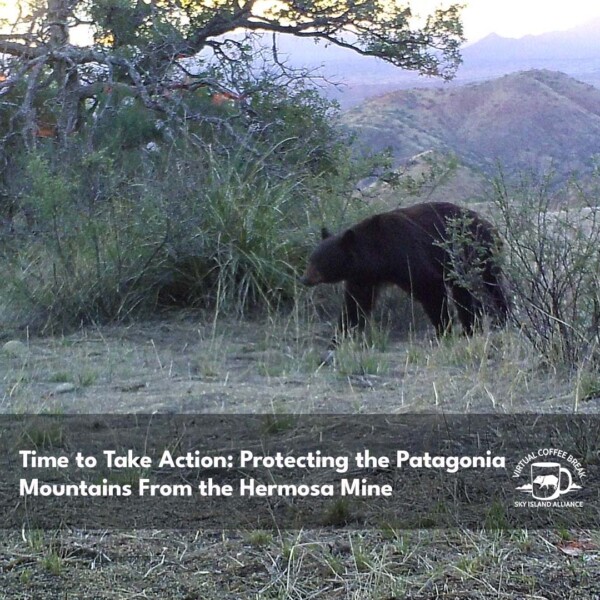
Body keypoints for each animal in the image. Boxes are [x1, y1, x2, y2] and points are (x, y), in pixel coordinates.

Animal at [302, 202, 508, 342]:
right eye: (310, 259)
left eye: (319, 262)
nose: (304, 279)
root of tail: (491, 226)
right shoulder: (364, 277)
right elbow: (355, 303)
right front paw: (341, 335)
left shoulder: (407, 253)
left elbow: (430, 287)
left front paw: (443, 329)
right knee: (464, 292)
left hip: (479, 252)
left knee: (491, 286)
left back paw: (496, 319)